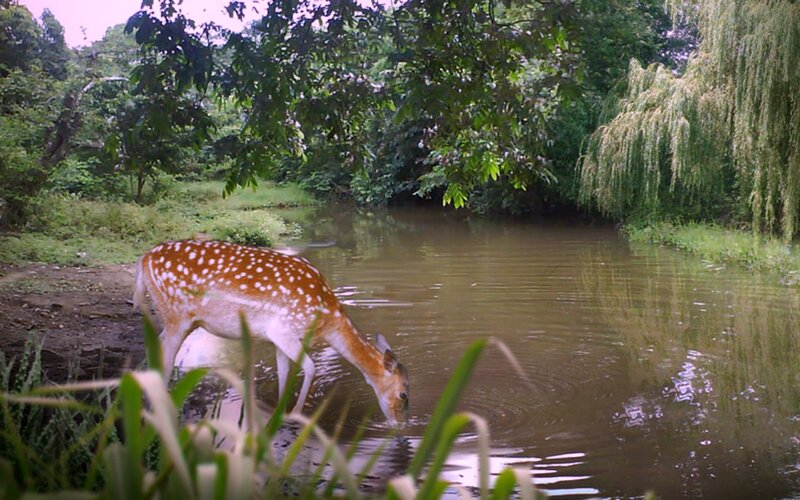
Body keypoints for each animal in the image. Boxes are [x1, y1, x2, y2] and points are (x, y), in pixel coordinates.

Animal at [133, 239, 409, 425]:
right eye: (404, 394)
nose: (402, 424)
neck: (327, 318)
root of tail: (144, 259)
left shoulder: (279, 339)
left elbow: (284, 373)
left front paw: (279, 412)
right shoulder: (283, 329)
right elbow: (310, 368)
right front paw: (295, 416)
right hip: (175, 313)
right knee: (165, 354)